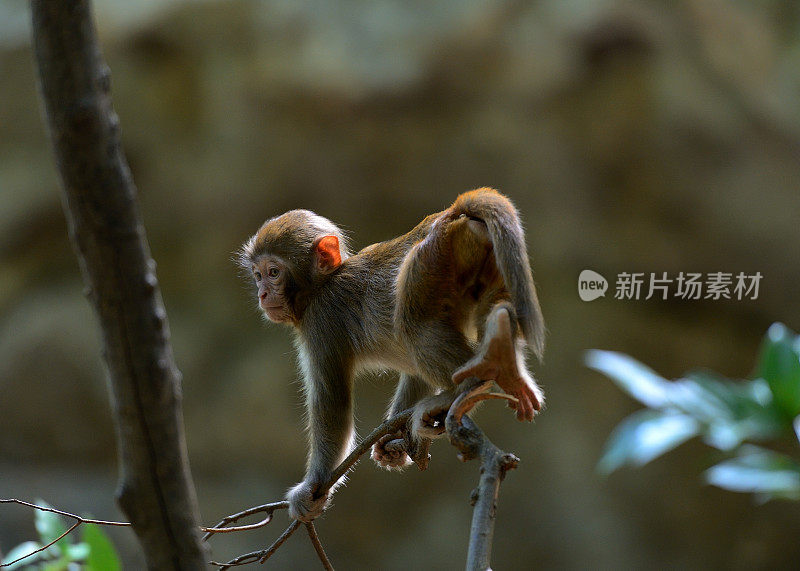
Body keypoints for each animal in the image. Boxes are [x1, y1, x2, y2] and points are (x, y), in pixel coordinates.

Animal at [238, 189, 544, 524]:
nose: (262, 294)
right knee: (492, 311)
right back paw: (507, 369)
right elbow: (414, 375)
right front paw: (392, 441)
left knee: (414, 325)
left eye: (273, 272)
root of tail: (452, 215)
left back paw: (471, 385)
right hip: (489, 263)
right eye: (257, 275)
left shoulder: (321, 322)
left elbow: (333, 408)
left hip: (429, 261)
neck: (323, 283)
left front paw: (312, 488)